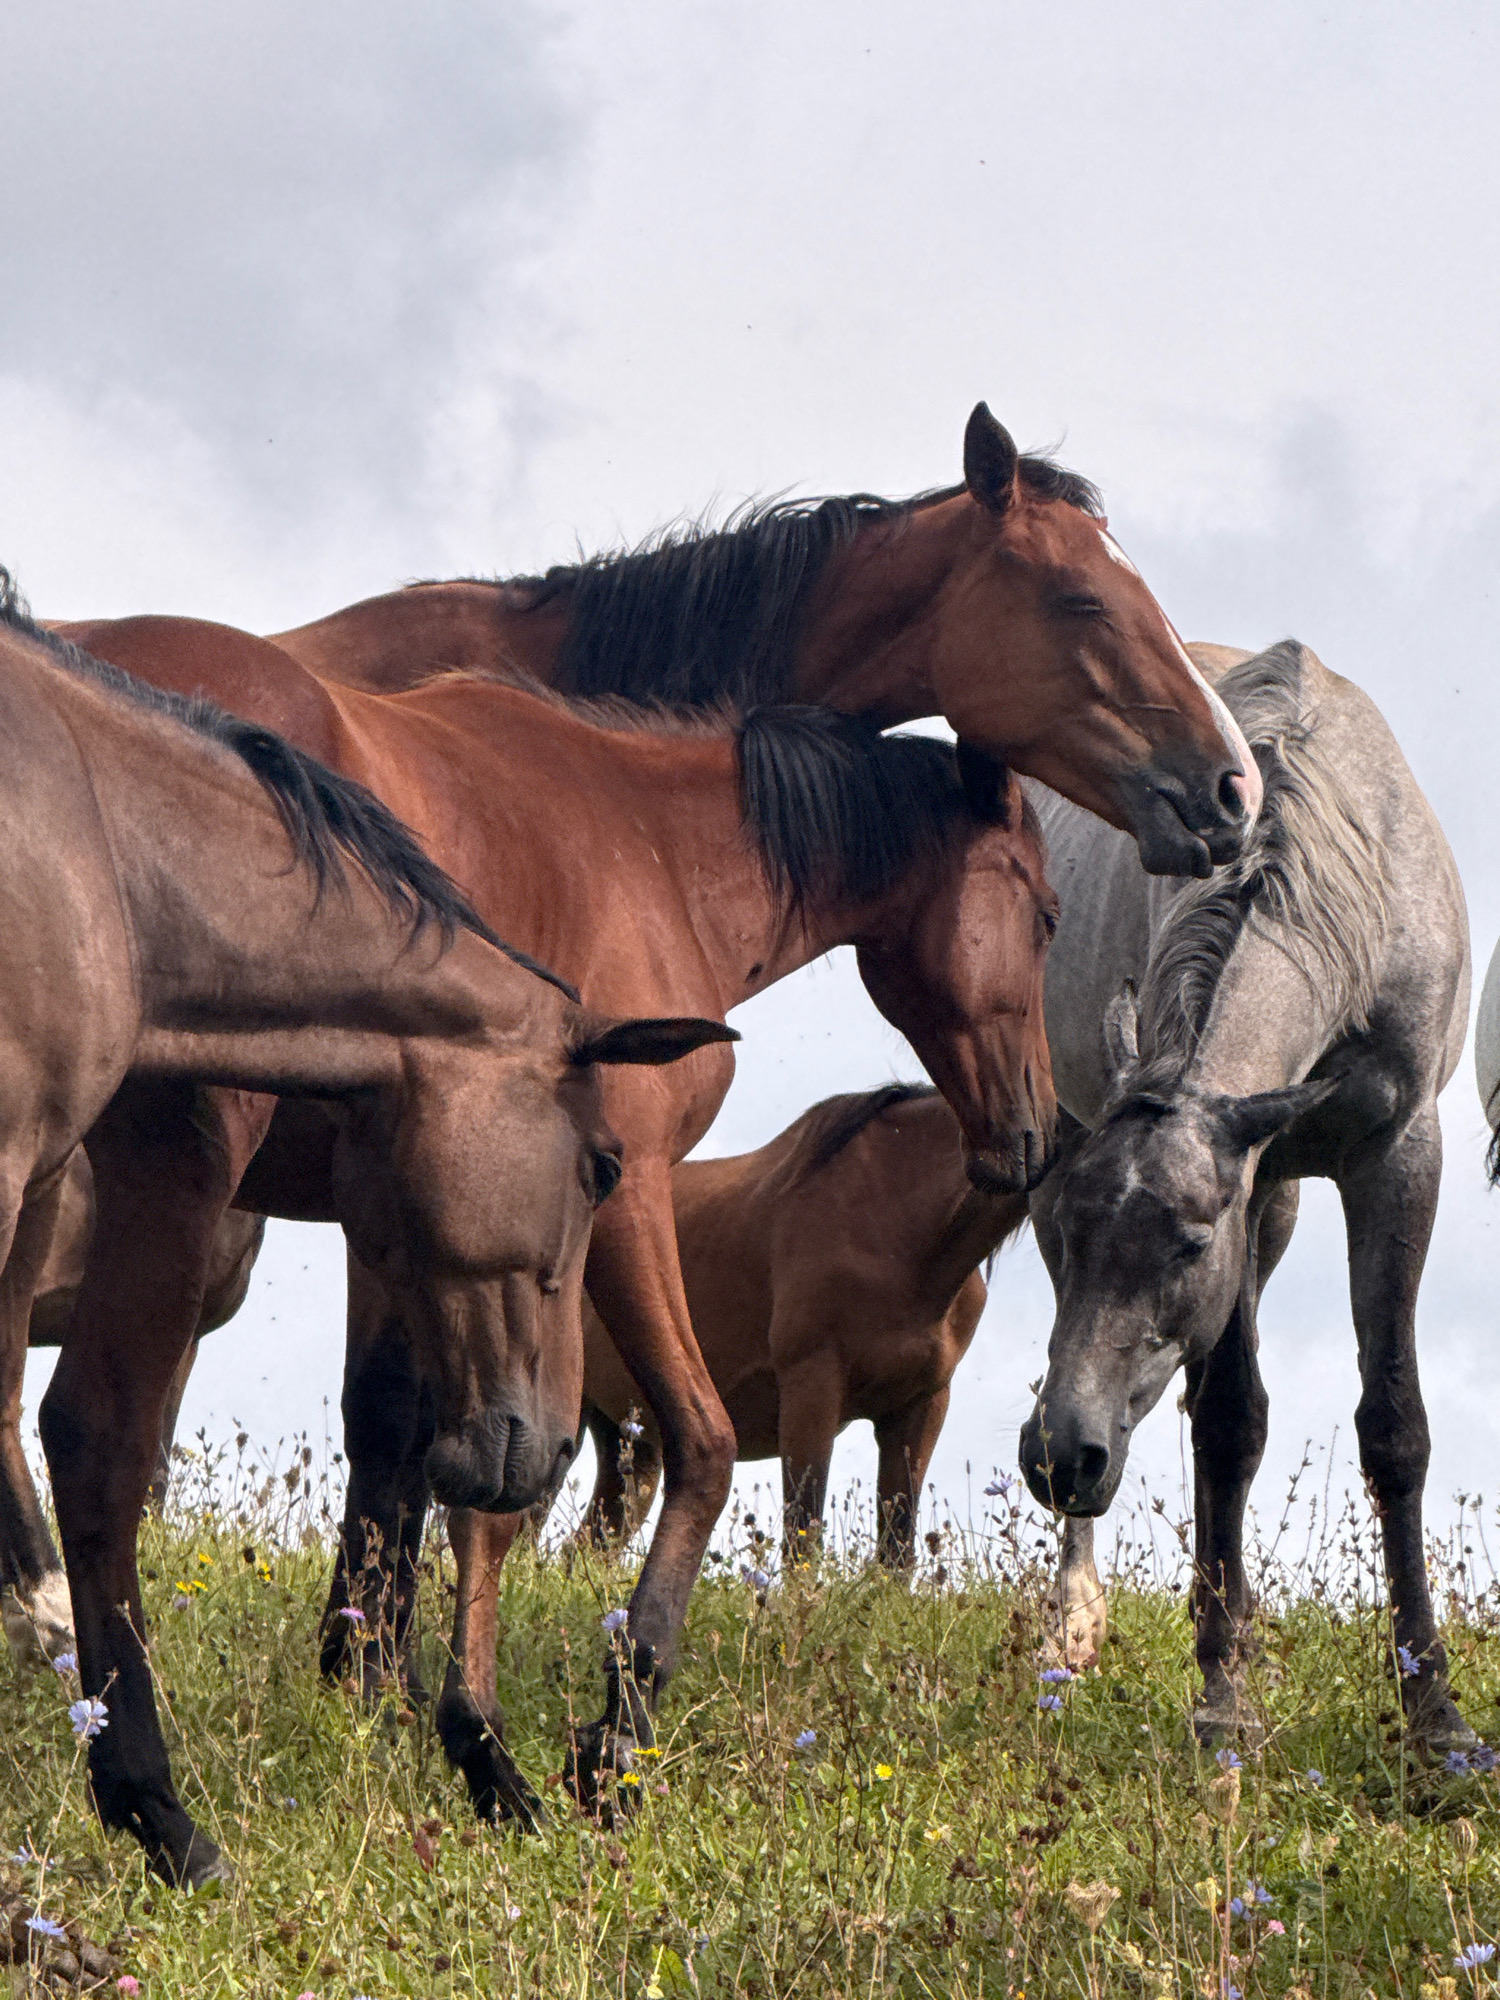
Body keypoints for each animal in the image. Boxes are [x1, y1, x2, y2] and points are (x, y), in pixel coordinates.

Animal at [1015, 639, 1473, 1752]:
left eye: (1187, 1241)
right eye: (1079, 1235)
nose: (1061, 1457)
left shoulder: (1397, 1157)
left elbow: (1394, 1424)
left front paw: (1434, 1715)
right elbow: (1227, 1420)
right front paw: (1222, 1694)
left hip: (1282, 1211)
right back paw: (1076, 1621)